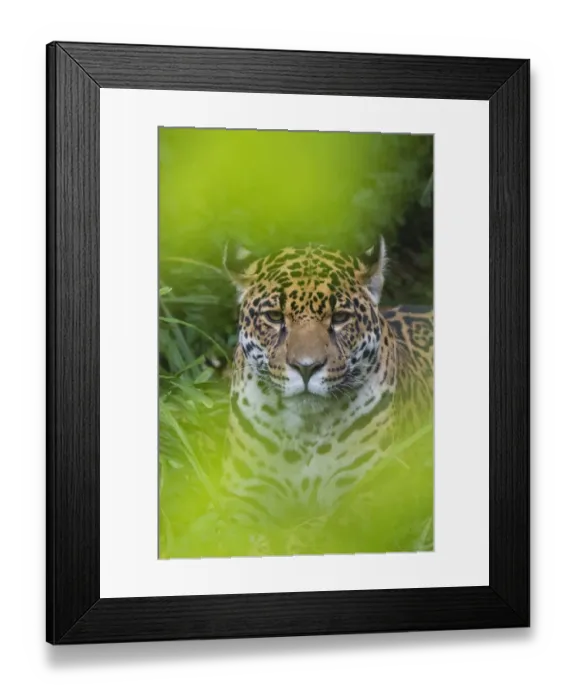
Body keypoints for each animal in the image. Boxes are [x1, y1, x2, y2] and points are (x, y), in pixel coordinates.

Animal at [218, 237, 434, 529]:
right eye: (274, 317)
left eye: (340, 317)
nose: (306, 367)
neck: (305, 431)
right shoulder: (244, 490)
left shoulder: (374, 493)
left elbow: (325, 529)